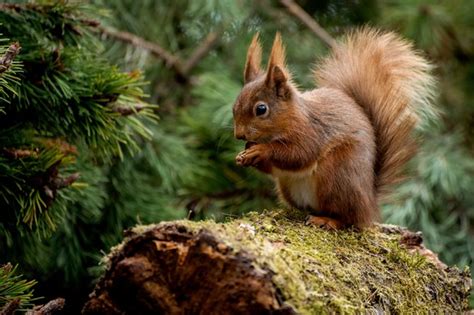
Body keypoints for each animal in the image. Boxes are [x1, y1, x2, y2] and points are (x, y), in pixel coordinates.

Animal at [231, 27, 436, 230]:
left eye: (261, 109)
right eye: (234, 107)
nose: (239, 135)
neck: (292, 117)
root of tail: (369, 203)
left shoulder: (311, 132)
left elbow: (298, 154)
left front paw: (261, 151)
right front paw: (245, 154)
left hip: (337, 175)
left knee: (347, 218)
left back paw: (327, 220)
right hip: (289, 187)